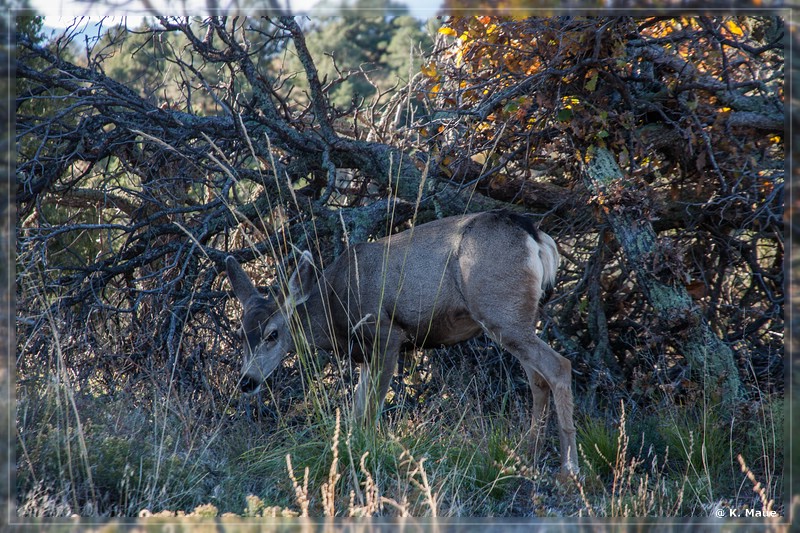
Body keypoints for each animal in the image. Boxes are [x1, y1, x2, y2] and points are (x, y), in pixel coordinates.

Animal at [223, 208, 576, 474]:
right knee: (537, 379)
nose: (246, 381)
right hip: (518, 316)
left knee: (559, 366)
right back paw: (526, 455)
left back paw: (568, 469)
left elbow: (370, 411)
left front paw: (365, 454)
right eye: (240, 334)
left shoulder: (386, 335)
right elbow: (357, 410)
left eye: (273, 334)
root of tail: (536, 236)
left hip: (500, 310)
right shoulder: (365, 356)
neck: (335, 311)